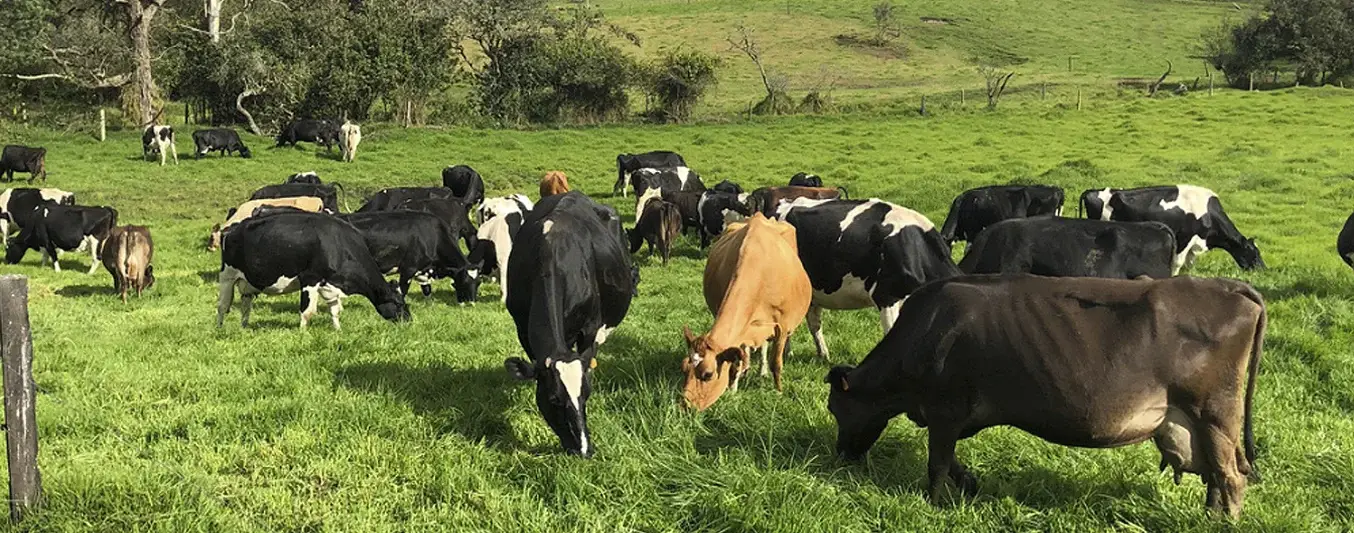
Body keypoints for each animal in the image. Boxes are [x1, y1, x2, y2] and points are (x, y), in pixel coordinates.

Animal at [216, 212, 410, 329]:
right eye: (399, 304)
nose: (409, 320)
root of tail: (232, 228)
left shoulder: (329, 284)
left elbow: (334, 309)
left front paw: (338, 330)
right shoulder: (310, 278)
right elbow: (307, 311)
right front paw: (303, 332)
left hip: (247, 283)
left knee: (245, 306)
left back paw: (244, 327)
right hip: (227, 277)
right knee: (222, 306)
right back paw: (220, 329)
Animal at [337, 211, 481, 301]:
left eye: (479, 283)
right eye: (464, 281)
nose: (471, 303)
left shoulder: (423, 270)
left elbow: (427, 290)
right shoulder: (408, 269)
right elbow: (403, 291)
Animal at [681, 214, 812, 410]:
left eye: (708, 374)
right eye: (684, 368)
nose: (685, 406)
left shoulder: (782, 325)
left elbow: (776, 363)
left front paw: (779, 391)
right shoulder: (741, 330)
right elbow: (735, 362)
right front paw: (732, 390)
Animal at [825, 274, 1265, 518]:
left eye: (834, 408)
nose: (841, 454)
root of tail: (1228, 286)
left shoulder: (943, 410)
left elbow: (937, 466)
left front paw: (932, 504)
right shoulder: (951, 418)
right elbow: (953, 464)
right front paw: (970, 483)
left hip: (1214, 413)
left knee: (1230, 478)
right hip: (1197, 423)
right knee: (1217, 475)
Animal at [1080, 185, 1264, 274]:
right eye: (1254, 253)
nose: (1263, 270)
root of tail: (1092, 191)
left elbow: (1190, 263)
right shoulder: (1185, 237)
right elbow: (1178, 262)